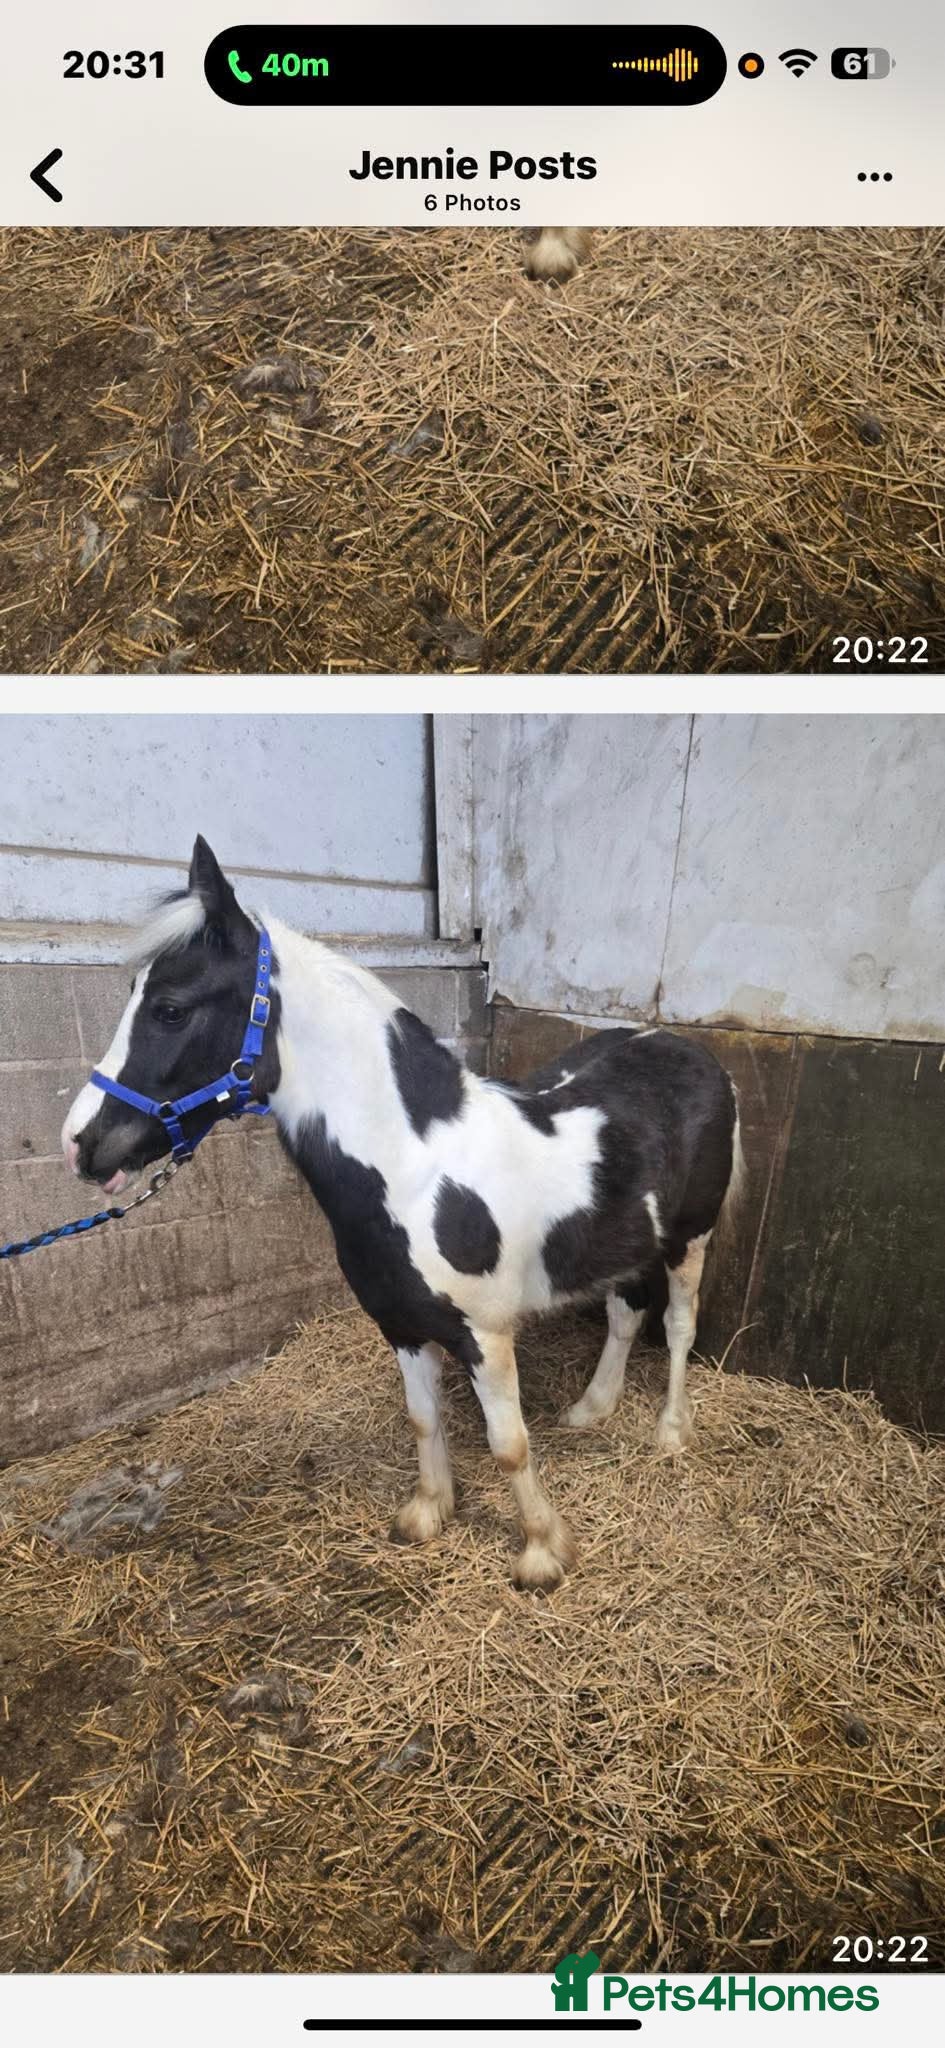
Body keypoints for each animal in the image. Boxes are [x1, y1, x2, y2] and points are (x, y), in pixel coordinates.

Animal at [62, 836, 743, 1592]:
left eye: (171, 1009)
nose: (82, 1144)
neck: (417, 1172)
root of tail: (691, 1051)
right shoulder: (402, 1326)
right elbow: (423, 1420)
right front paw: (427, 1514)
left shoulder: (484, 1335)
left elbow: (508, 1444)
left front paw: (541, 1551)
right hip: (628, 1243)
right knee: (625, 1315)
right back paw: (592, 1410)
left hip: (690, 1238)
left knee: (677, 1325)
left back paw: (671, 1433)